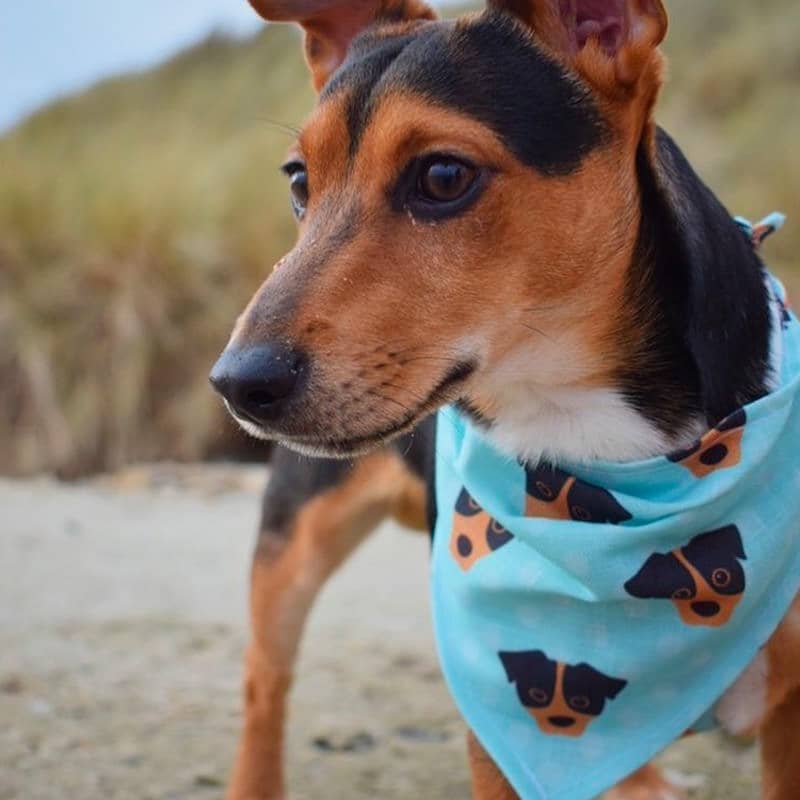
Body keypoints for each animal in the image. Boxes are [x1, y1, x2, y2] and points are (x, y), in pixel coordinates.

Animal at [208, 3, 800, 796]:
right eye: (300, 180)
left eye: (443, 175)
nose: (238, 382)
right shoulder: (496, 730)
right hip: (294, 539)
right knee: (263, 682)